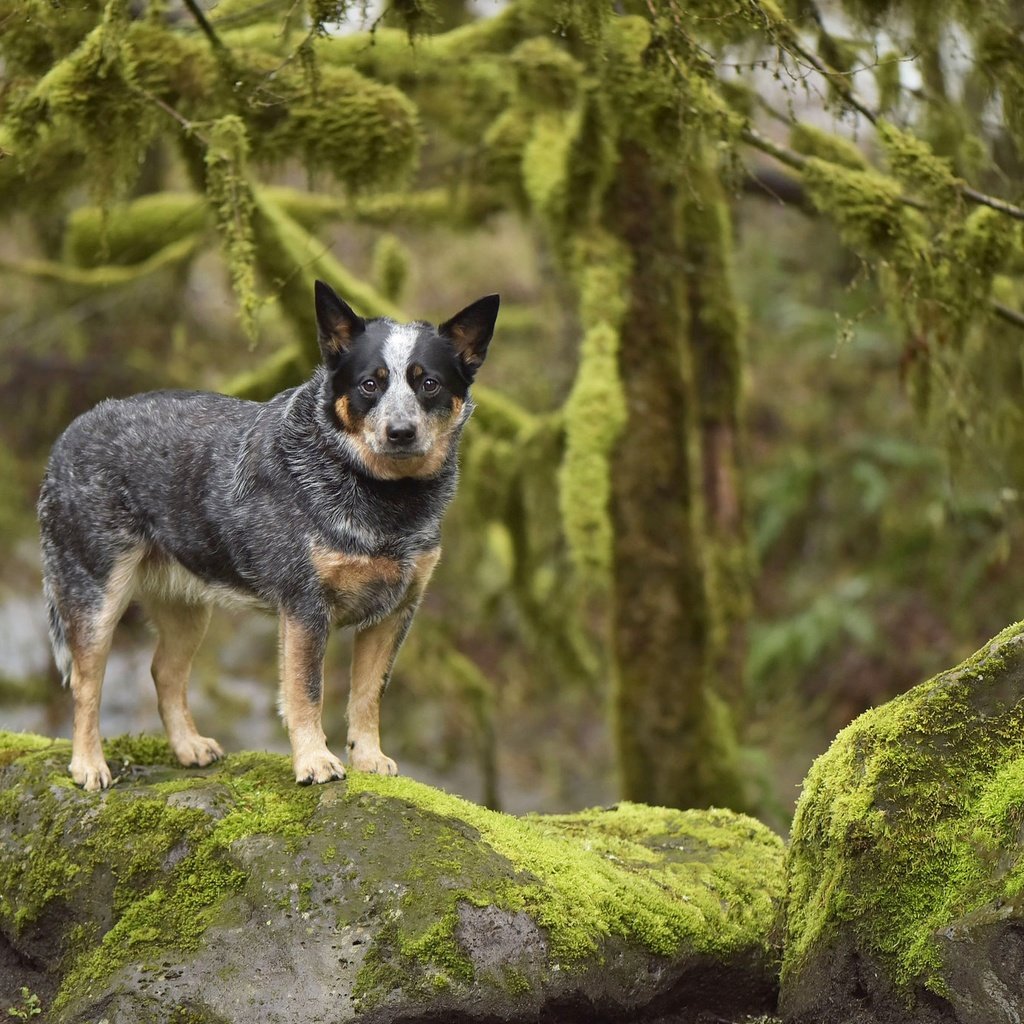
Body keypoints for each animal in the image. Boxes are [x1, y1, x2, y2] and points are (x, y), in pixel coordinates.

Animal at [37, 280, 501, 790]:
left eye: (428, 383)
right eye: (370, 384)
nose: (400, 431)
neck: (385, 501)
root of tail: (69, 435)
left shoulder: (396, 611)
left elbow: (368, 694)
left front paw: (369, 758)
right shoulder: (305, 607)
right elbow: (306, 692)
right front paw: (315, 762)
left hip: (187, 607)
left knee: (165, 672)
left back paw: (188, 747)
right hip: (96, 596)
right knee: (85, 683)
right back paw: (88, 765)